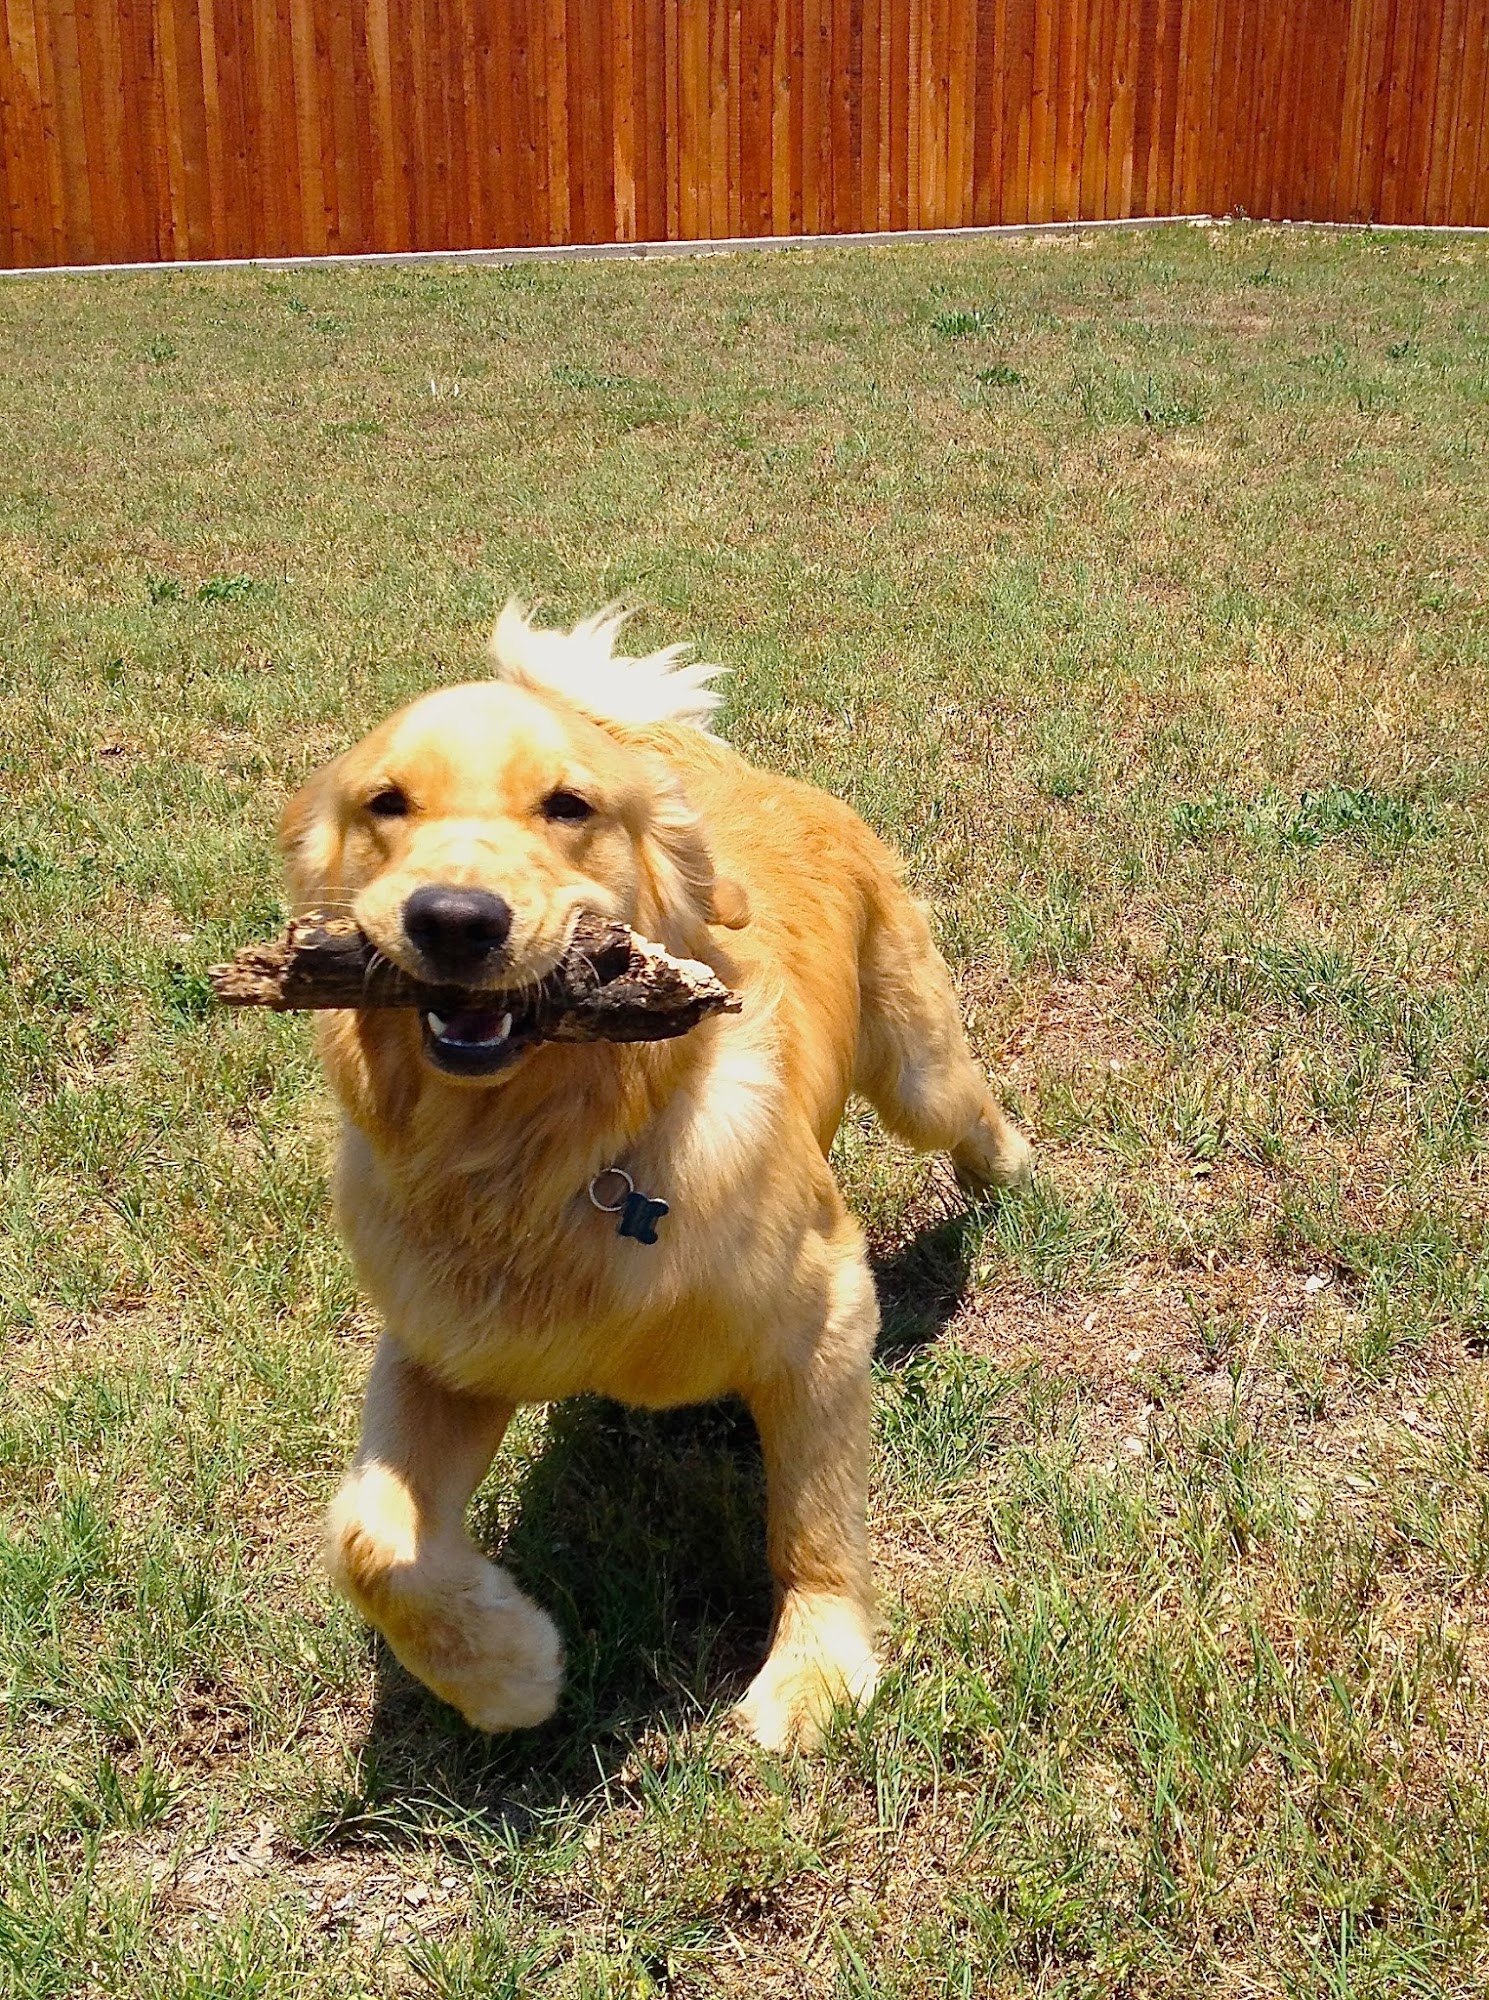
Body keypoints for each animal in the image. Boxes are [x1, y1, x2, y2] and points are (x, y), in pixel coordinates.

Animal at [280, 605, 1031, 1751]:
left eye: (568, 805)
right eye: (386, 804)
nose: (453, 919)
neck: (554, 1158)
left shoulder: (822, 1311)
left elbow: (811, 1523)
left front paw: (814, 1668)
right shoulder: (443, 1348)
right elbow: (370, 1540)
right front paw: (507, 1672)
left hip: (917, 1070)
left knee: (962, 1104)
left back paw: (1009, 1167)